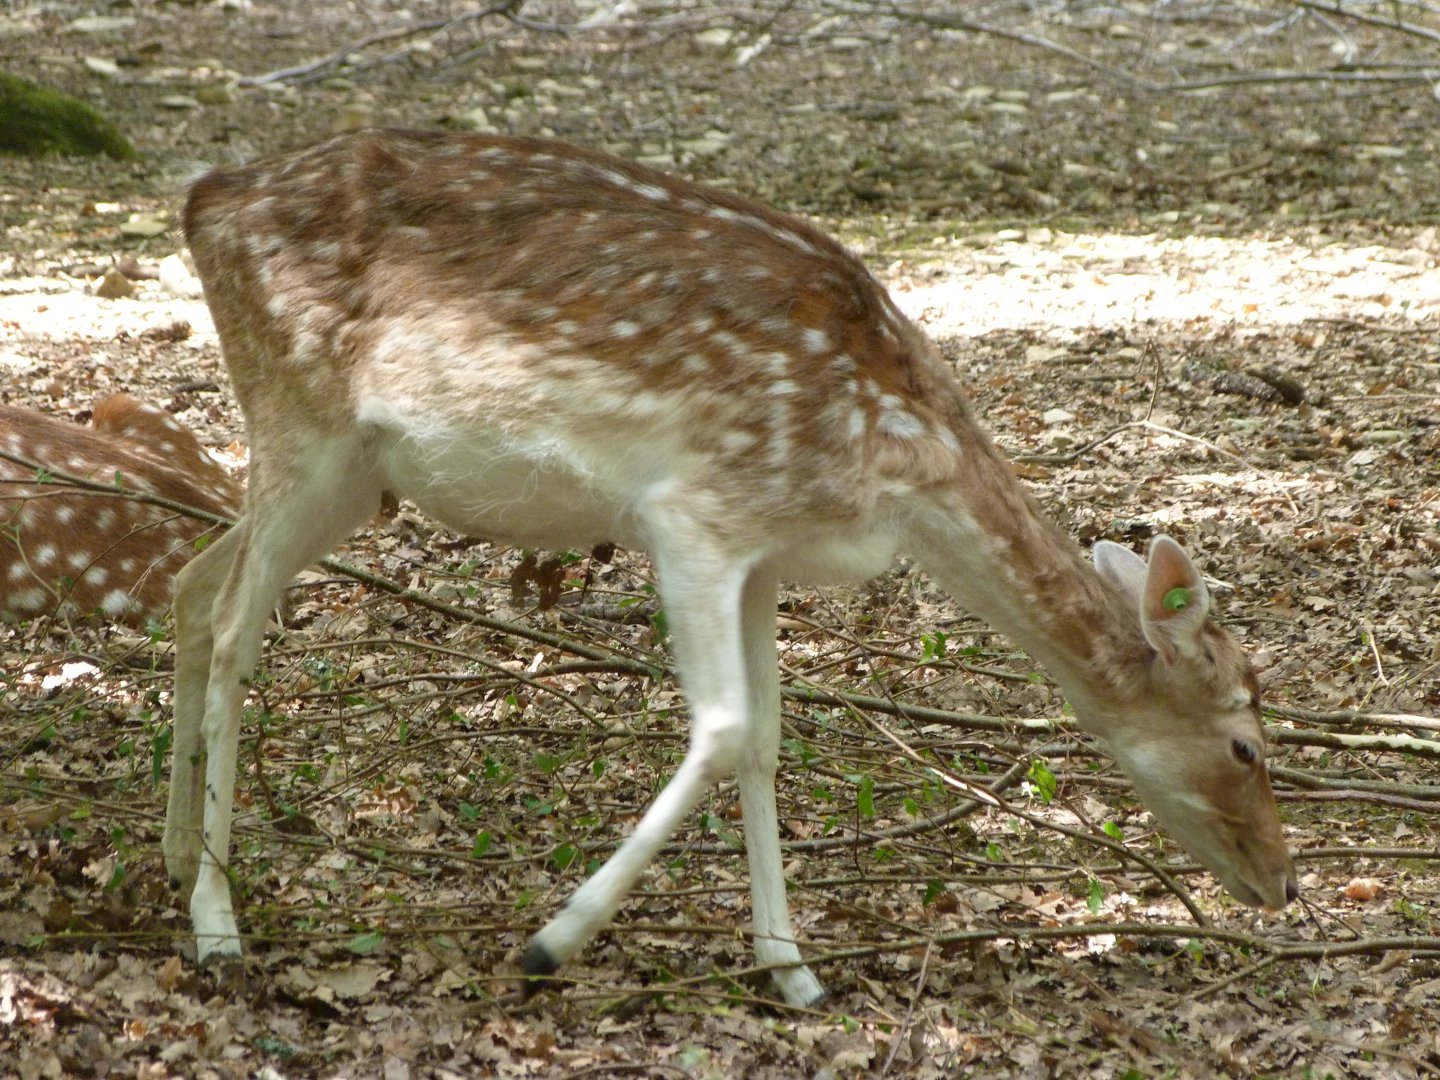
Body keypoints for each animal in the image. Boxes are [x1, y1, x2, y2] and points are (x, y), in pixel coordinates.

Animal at [164, 129, 1298, 1008]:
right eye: (1245, 745)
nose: (1285, 883)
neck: (895, 461)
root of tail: (205, 197)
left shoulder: (764, 557)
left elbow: (767, 742)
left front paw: (793, 972)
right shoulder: (693, 515)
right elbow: (718, 728)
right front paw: (549, 946)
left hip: (354, 473)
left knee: (194, 581)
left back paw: (174, 860)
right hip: (301, 416)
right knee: (231, 623)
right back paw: (217, 925)